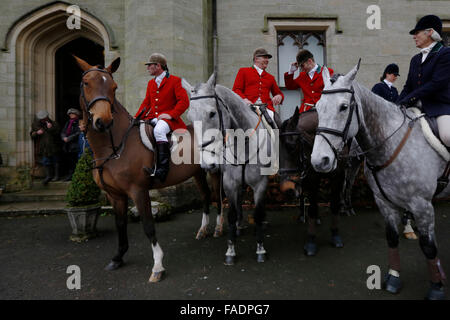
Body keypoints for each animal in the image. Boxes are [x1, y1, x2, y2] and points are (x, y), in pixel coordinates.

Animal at [74, 55, 223, 282]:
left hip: (215, 171)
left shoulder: (138, 191)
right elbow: (120, 224)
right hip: (197, 173)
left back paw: (220, 228)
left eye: (114, 87)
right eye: (86, 83)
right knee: (206, 196)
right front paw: (118, 258)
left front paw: (158, 266)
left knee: (220, 197)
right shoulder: (115, 194)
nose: (103, 121)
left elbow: (148, 226)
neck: (116, 145)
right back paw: (203, 230)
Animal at [185, 74, 278, 264]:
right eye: (190, 116)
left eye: (212, 113)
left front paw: (260, 248)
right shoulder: (229, 183)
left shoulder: (260, 184)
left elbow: (258, 213)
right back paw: (239, 226)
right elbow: (232, 214)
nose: (207, 164)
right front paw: (230, 250)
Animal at [312, 62, 448, 300]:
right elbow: (392, 238)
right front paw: (393, 278)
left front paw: (436, 288)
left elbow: (429, 246)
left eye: (344, 107)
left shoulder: (422, 205)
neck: (390, 144)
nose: (320, 160)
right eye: (318, 107)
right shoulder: (384, 202)